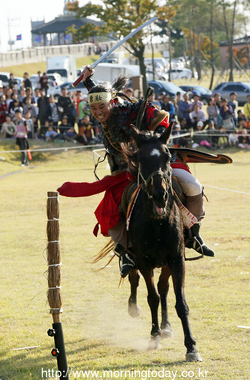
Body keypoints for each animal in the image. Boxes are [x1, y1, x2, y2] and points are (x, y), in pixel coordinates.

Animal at [120, 126, 202, 360]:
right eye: (141, 158)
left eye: (167, 156)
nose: (160, 195)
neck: (157, 221)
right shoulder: (144, 261)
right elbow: (152, 298)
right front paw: (154, 336)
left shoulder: (176, 259)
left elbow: (178, 302)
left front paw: (191, 346)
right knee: (135, 278)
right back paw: (134, 307)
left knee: (163, 288)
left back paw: (166, 326)